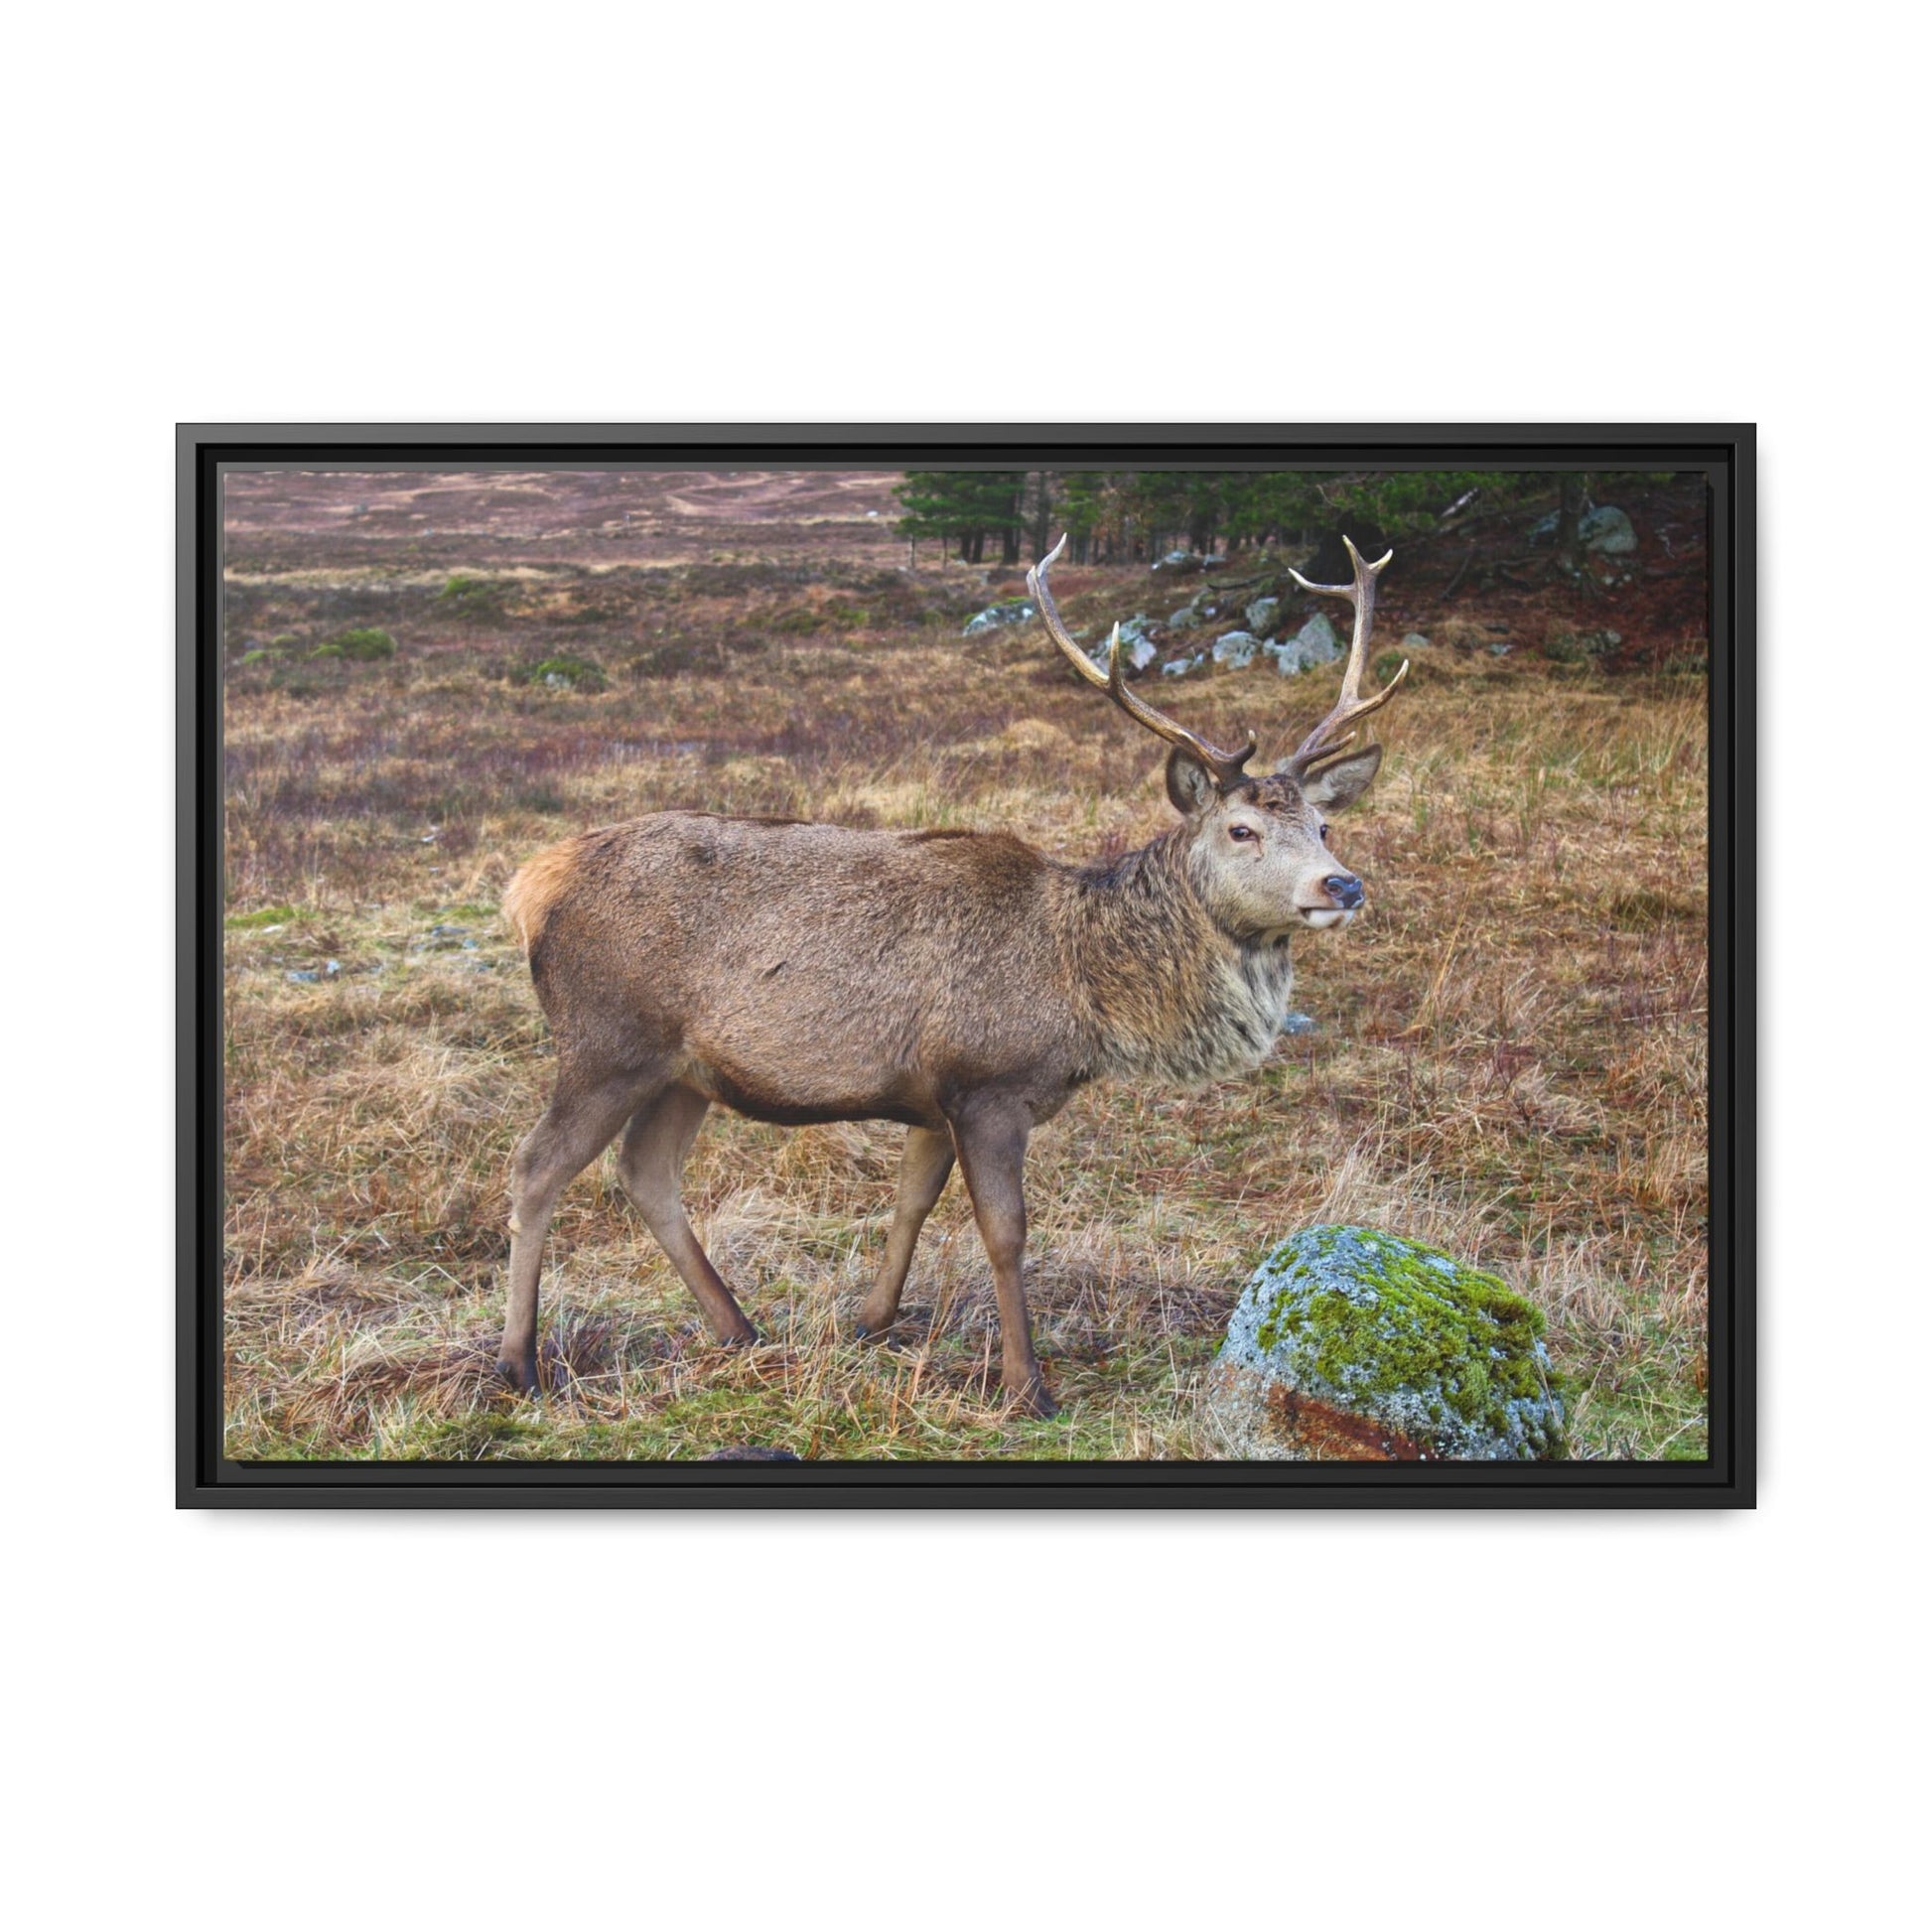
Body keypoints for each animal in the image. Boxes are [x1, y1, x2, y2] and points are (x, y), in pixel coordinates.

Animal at [497, 535, 1407, 1418]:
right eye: (1242, 829)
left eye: (1324, 824)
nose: (1343, 885)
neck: (1086, 992)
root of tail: (532, 882)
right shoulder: (988, 1084)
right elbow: (1005, 1233)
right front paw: (1027, 1385)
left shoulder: (933, 1099)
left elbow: (911, 1202)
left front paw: (870, 1323)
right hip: (606, 1041)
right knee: (536, 1166)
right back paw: (520, 1364)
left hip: (685, 1071)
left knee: (646, 1172)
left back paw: (739, 1328)